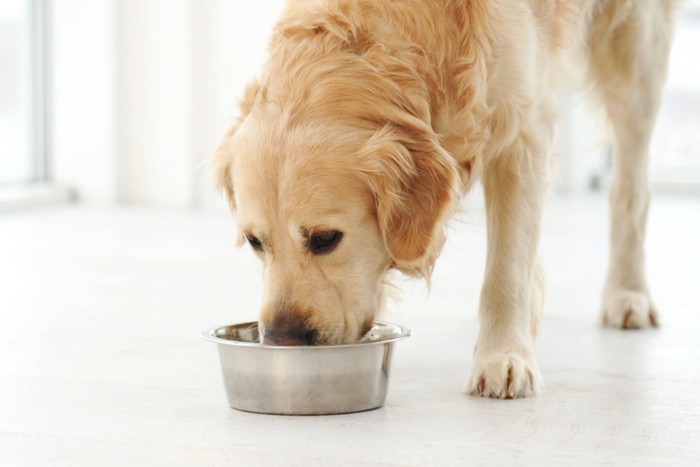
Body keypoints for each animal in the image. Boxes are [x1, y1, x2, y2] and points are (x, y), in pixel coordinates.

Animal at [212, 1, 672, 400]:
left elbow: (505, 270)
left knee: (630, 186)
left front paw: (503, 357)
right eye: (255, 242)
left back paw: (628, 294)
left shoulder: (522, 134)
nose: (280, 340)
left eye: (326, 239)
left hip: (636, 54)